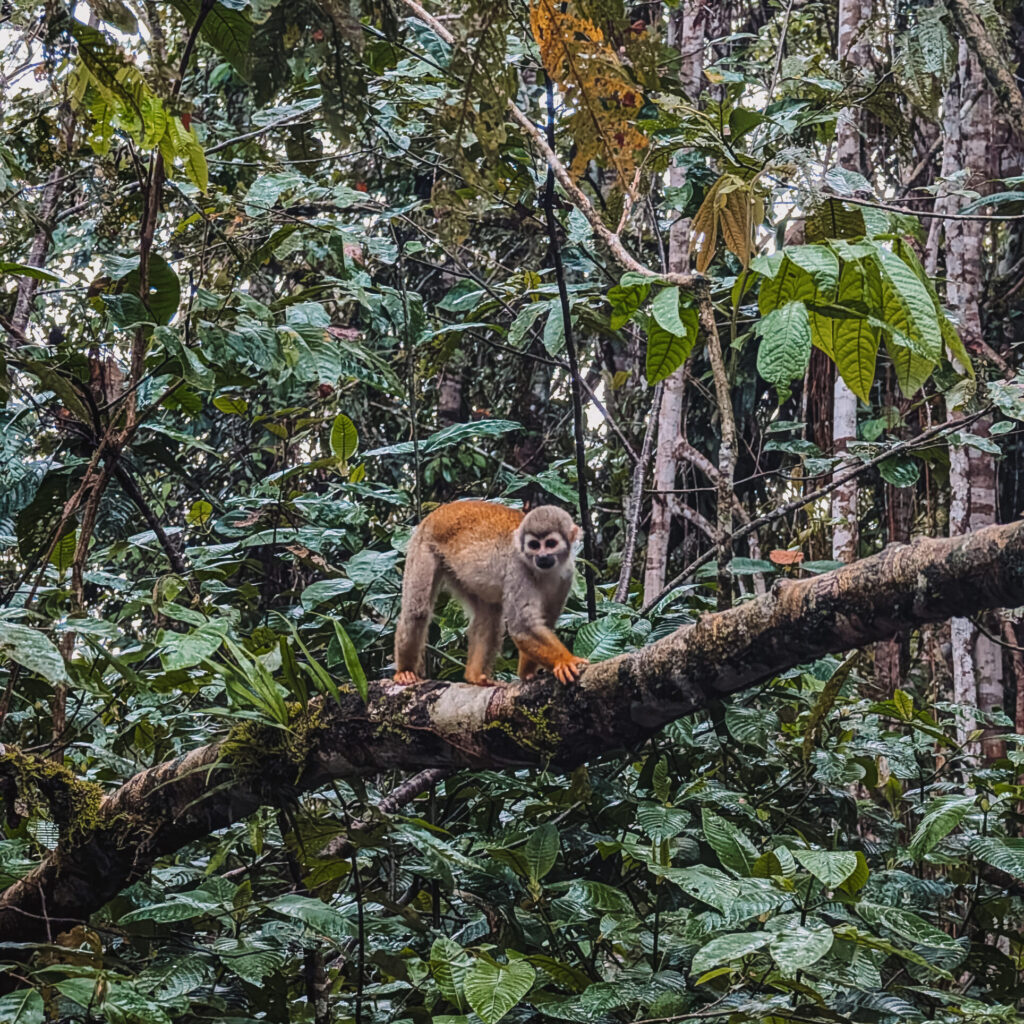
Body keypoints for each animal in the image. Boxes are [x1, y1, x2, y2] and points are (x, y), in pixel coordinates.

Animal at [391, 497, 589, 684]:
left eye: (550, 543)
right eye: (534, 545)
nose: (542, 557)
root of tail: (439, 511)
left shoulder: (566, 576)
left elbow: (545, 621)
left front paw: (527, 673)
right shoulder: (518, 568)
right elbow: (523, 626)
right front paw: (565, 662)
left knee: (489, 614)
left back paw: (474, 676)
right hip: (423, 545)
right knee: (416, 611)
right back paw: (405, 671)